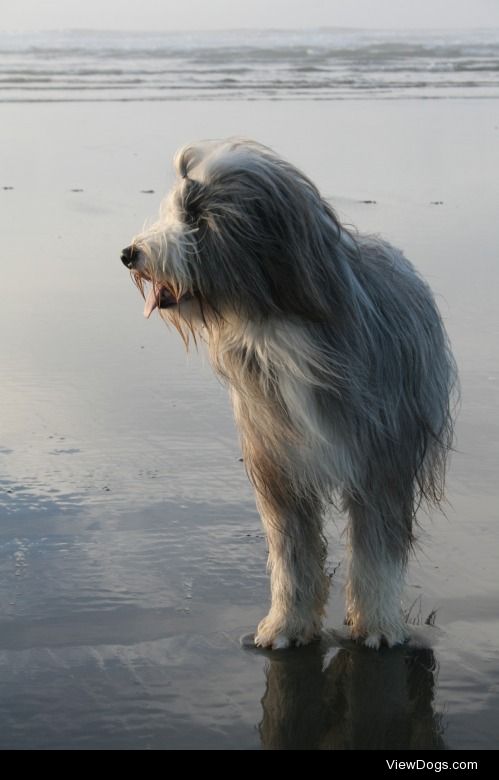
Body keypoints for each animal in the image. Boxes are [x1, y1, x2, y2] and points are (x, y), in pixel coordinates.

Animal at [120, 137, 458, 648]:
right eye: (175, 211)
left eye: (196, 215)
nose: (130, 253)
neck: (279, 327)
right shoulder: (279, 461)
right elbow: (292, 556)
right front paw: (286, 625)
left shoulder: (381, 460)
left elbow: (377, 553)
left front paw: (379, 626)